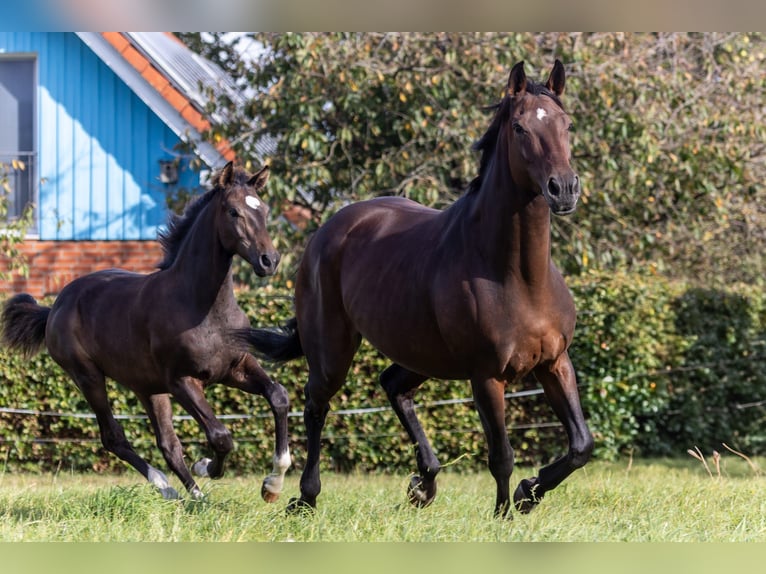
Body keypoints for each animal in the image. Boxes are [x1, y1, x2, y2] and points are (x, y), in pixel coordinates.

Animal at [2, 162, 292, 504]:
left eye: (265, 210)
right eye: (233, 211)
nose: (269, 261)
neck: (203, 307)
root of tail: (54, 308)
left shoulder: (236, 368)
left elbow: (278, 396)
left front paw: (273, 484)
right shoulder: (182, 381)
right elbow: (220, 436)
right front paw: (206, 465)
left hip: (148, 388)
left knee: (167, 443)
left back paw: (193, 497)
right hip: (88, 376)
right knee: (114, 436)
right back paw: (165, 486)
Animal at [243, 60, 596, 520]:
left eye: (566, 124)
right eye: (520, 127)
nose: (564, 189)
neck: (519, 276)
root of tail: (329, 229)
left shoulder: (554, 362)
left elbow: (581, 446)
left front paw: (527, 492)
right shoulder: (486, 376)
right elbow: (501, 455)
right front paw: (505, 511)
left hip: (421, 353)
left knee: (393, 385)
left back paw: (423, 483)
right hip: (334, 352)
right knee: (316, 406)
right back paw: (303, 497)